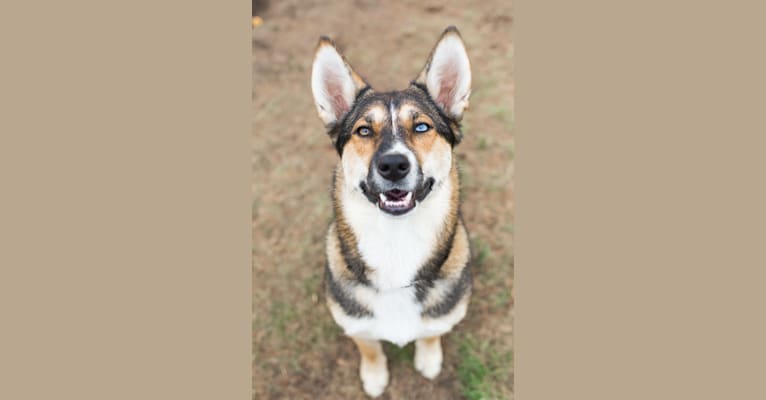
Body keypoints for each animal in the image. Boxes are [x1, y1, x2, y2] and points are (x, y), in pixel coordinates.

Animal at [312, 25, 474, 396]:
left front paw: (428, 359)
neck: (397, 245)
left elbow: (431, 333)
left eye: (422, 127)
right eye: (363, 130)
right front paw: (374, 377)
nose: (393, 165)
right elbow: (369, 347)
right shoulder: (354, 322)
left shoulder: (444, 314)